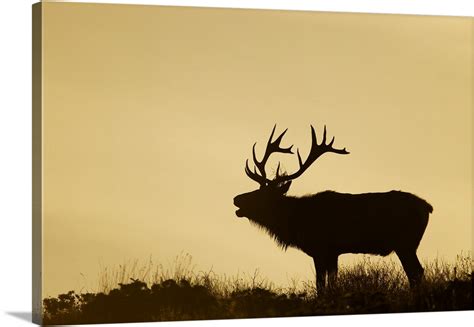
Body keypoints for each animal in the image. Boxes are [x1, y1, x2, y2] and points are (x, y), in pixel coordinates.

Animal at [233, 125, 434, 292]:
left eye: (263, 195)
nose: (236, 199)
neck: (296, 222)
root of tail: (428, 207)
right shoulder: (334, 252)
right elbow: (332, 282)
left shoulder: (320, 248)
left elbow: (321, 286)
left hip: (406, 243)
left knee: (416, 272)